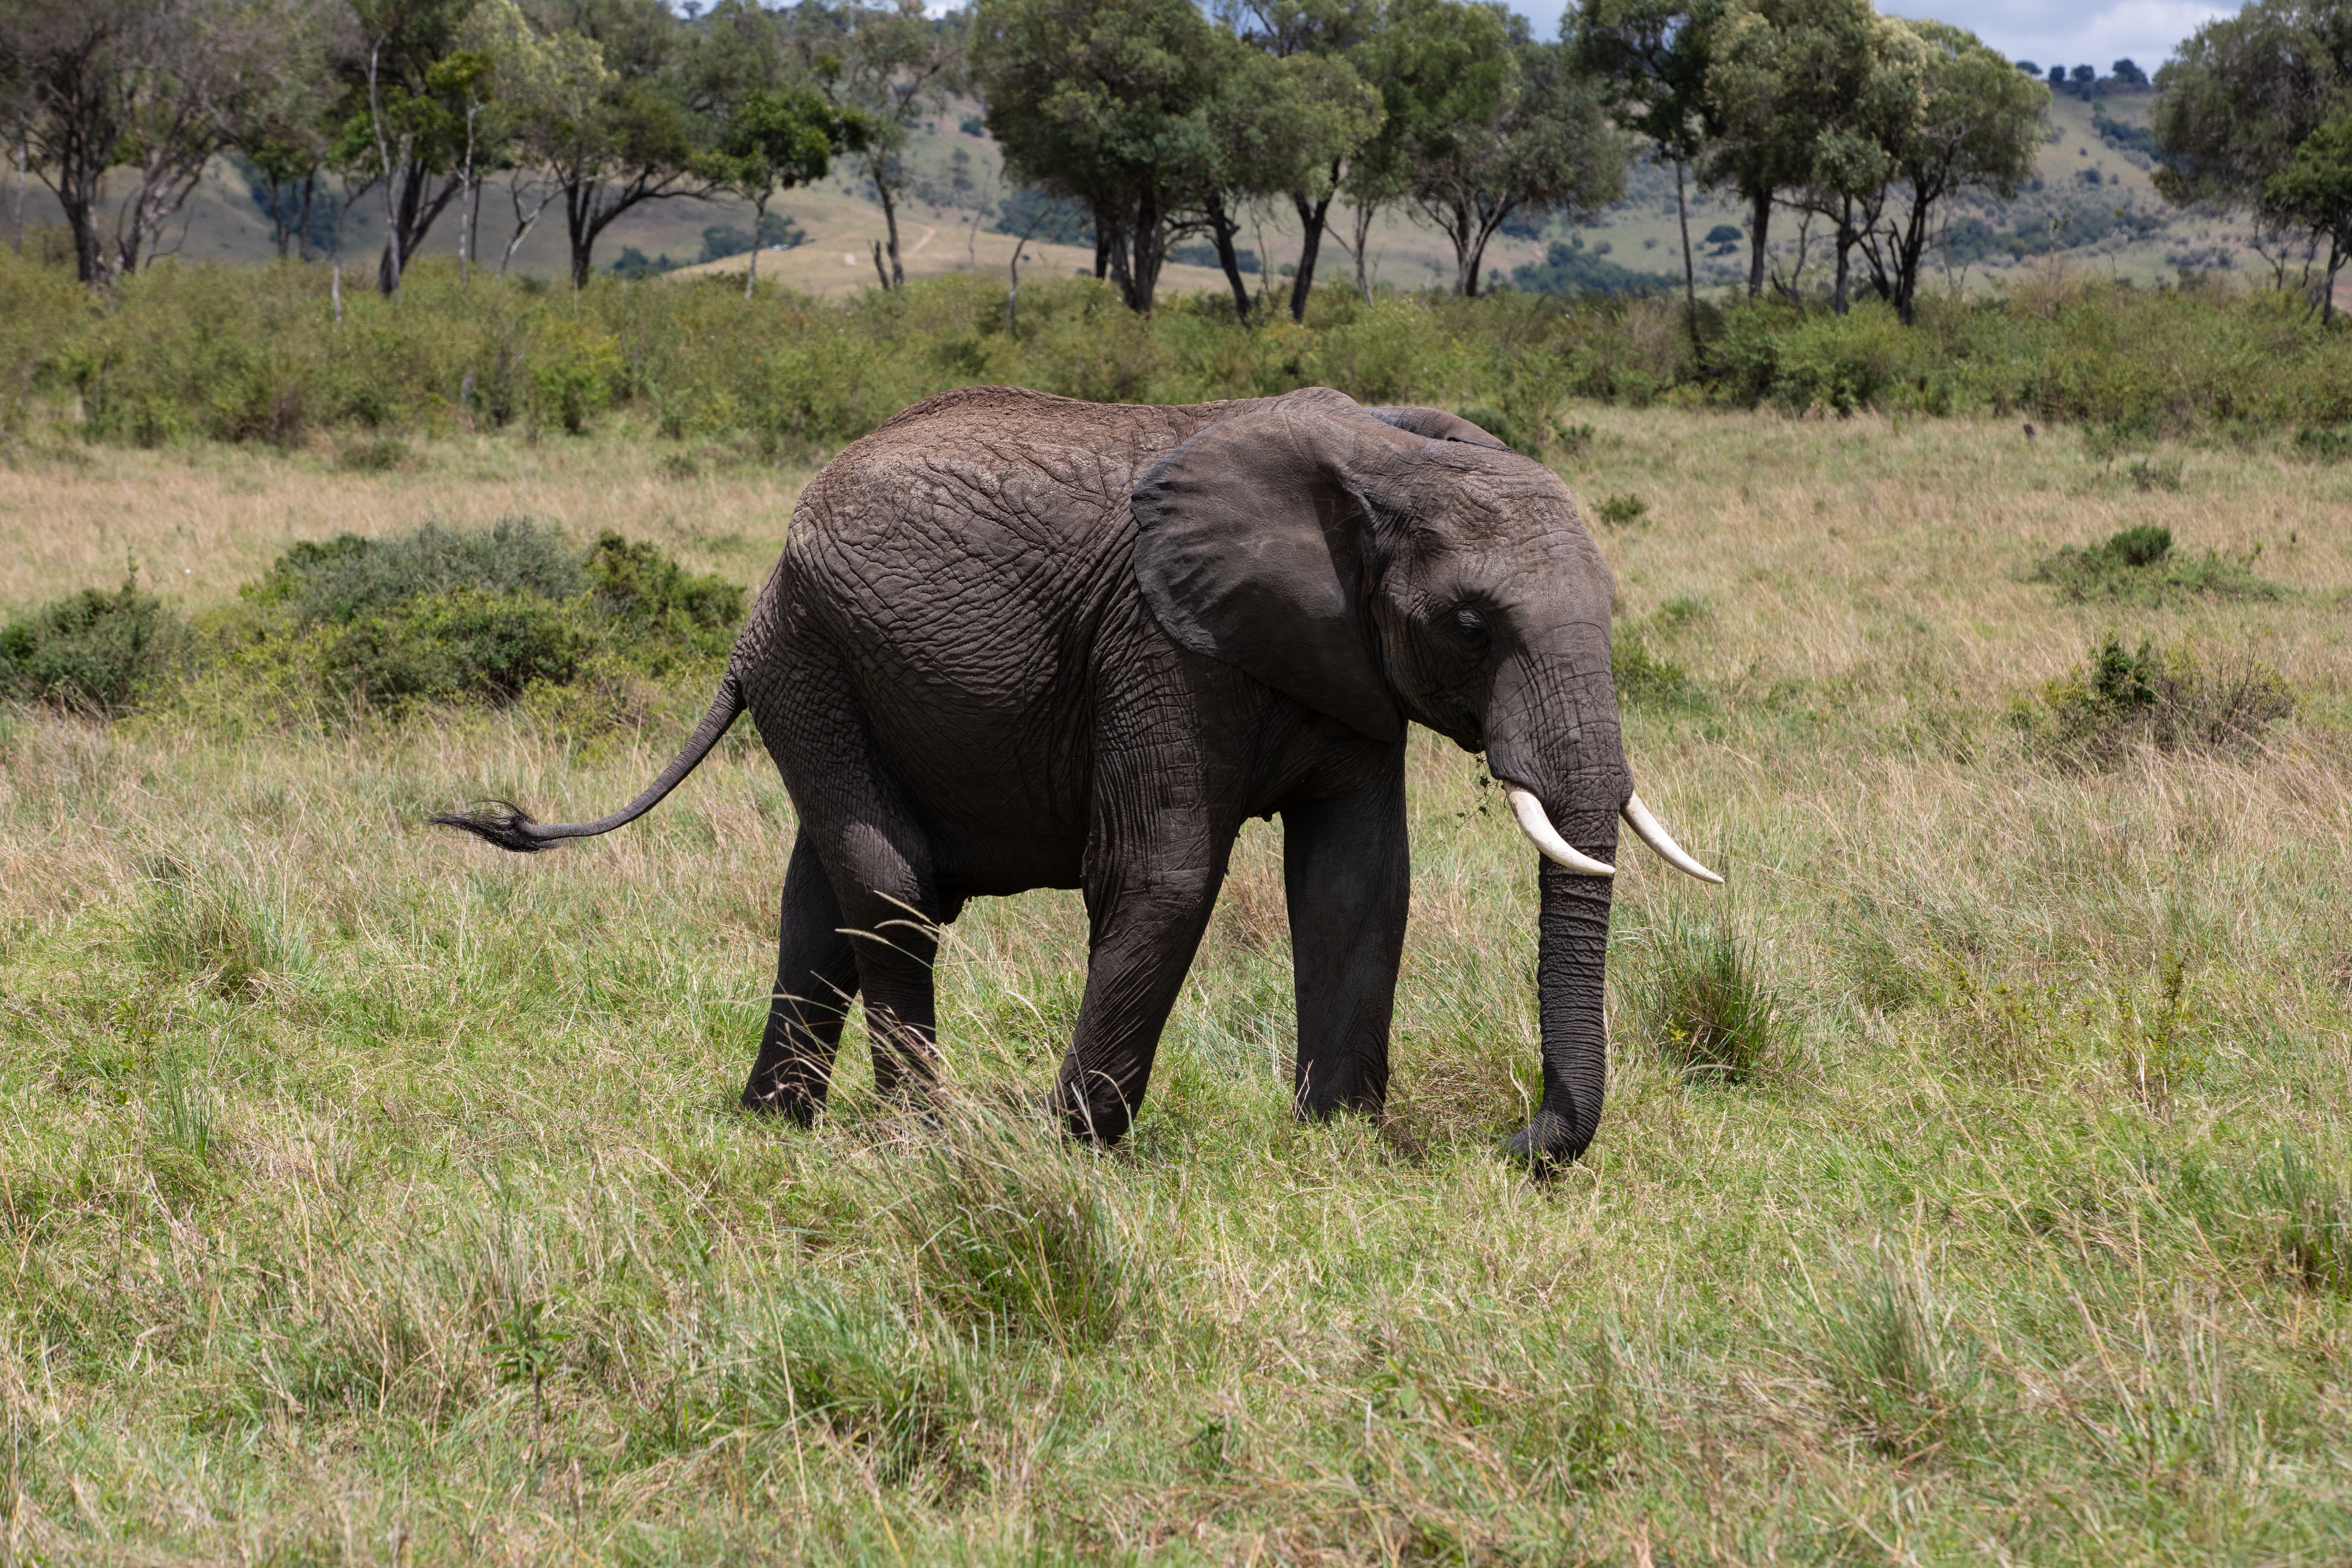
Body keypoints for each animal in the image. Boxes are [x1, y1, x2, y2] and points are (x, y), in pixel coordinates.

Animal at [433, 384, 1719, 1163]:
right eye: (1469, 624)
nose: (1519, 1143)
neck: (1380, 455)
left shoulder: (1345, 665)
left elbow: (1358, 884)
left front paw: (1336, 1143)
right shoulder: (1157, 647)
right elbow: (1163, 872)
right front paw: (1080, 1146)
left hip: (825, 668)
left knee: (820, 898)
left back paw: (777, 1129)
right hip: (813, 655)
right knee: (890, 886)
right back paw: (925, 1141)